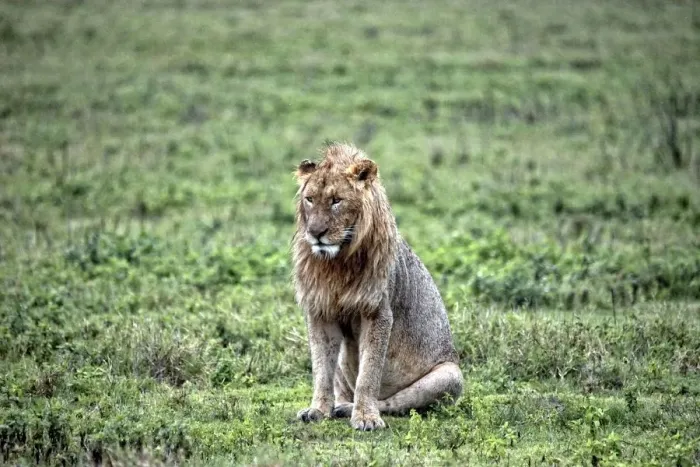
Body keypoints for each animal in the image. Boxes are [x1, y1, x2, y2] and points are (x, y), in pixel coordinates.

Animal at [292, 142, 463, 431]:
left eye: (336, 200)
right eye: (310, 199)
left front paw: (366, 417)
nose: (316, 233)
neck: (337, 263)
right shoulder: (320, 312)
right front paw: (317, 410)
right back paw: (339, 406)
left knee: (396, 402)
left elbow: (369, 373)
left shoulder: (377, 312)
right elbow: (321, 370)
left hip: (451, 374)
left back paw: (350, 409)